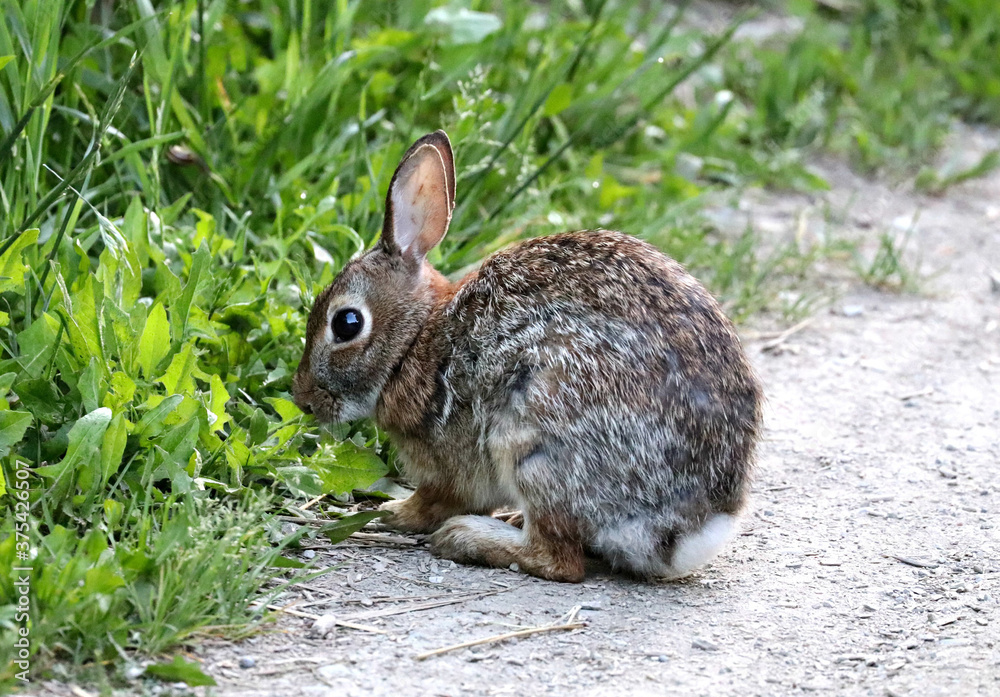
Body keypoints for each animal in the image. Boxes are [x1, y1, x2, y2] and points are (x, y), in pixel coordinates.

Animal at [292, 130, 764, 583]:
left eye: (347, 323)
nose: (303, 399)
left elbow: (434, 501)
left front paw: (390, 513)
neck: (416, 339)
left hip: (534, 432)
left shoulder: (450, 465)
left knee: (558, 560)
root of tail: (687, 530)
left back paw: (468, 537)